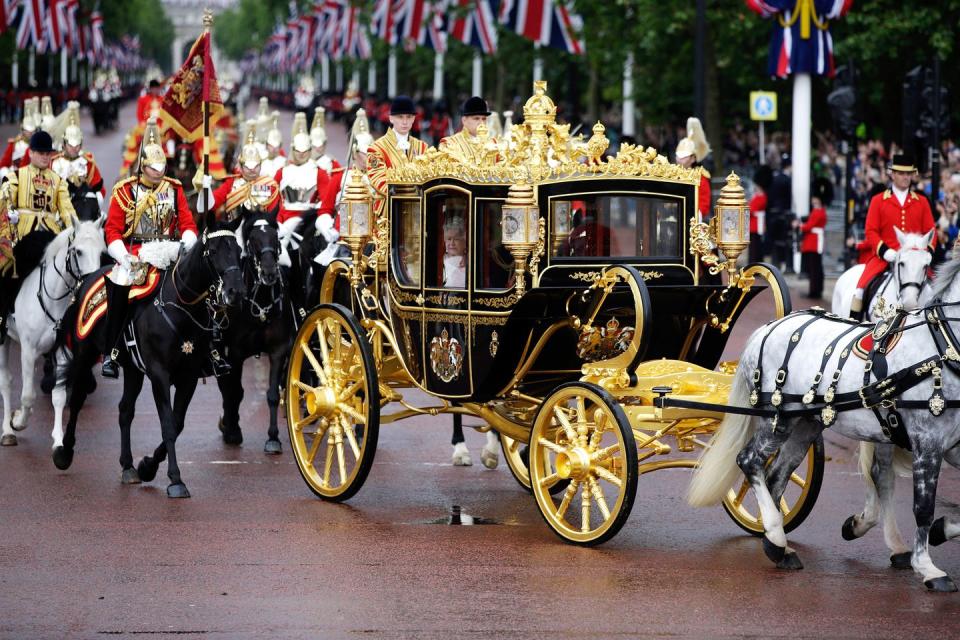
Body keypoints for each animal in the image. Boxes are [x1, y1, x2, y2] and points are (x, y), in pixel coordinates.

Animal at [0, 222, 105, 448]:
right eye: (78, 251)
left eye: (102, 252)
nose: (92, 283)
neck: (53, 300)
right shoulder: (28, 351)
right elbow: (28, 396)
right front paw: (17, 421)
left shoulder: (61, 351)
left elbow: (59, 396)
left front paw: (58, 440)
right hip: (3, 340)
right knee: (6, 381)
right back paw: (7, 431)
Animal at [55, 225, 248, 500]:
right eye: (212, 251)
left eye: (239, 250)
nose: (236, 293)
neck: (181, 306)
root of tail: (88, 279)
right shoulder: (159, 374)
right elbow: (167, 424)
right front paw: (175, 479)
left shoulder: (188, 378)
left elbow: (177, 424)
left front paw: (148, 466)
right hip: (85, 355)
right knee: (78, 399)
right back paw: (64, 452)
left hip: (133, 370)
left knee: (125, 410)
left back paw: (128, 466)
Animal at [216, 209, 294, 450]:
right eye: (252, 240)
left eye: (275, 237)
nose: (269, 272)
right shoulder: (236, 353)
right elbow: (235, 392)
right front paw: (233, 430)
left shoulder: (278, 351)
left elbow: (272, 394)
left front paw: (273, 437)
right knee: (226, 387)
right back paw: (228, 424)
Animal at [688, 252, 960, 592]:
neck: (943, 347)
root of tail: (767, 328)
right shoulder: (927, 440)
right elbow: (923, 506)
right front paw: (929, 568)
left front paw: (938, 533)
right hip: (777, 419)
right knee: (750, 462)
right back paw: (776, 535)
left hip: (806, 424)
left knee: (775, 475)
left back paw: (776, 543)